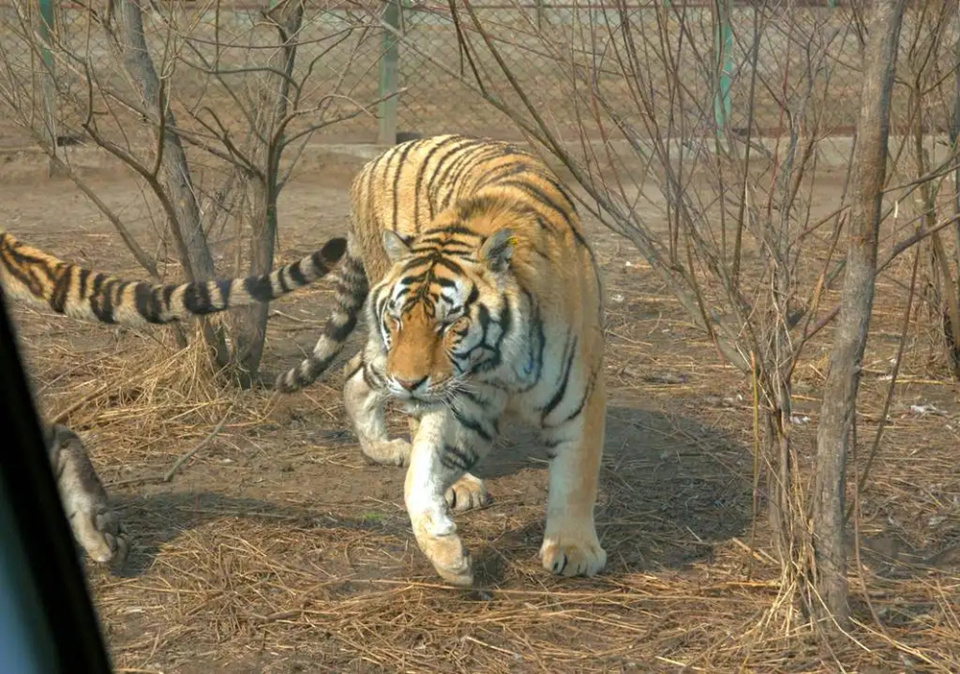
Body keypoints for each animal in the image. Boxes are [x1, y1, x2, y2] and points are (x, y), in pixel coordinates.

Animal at [275, 135, 607, 587]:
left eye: (449, 323)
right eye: (397, 318)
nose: (408, 382)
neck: (496, 364)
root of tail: (371, 164)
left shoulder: (579, 399)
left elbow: (575, 477)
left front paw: (573, 551)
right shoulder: (456, 402)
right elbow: (418, 480)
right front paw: (449, 557)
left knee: (354, 369)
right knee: (360, 373)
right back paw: (432, 470)